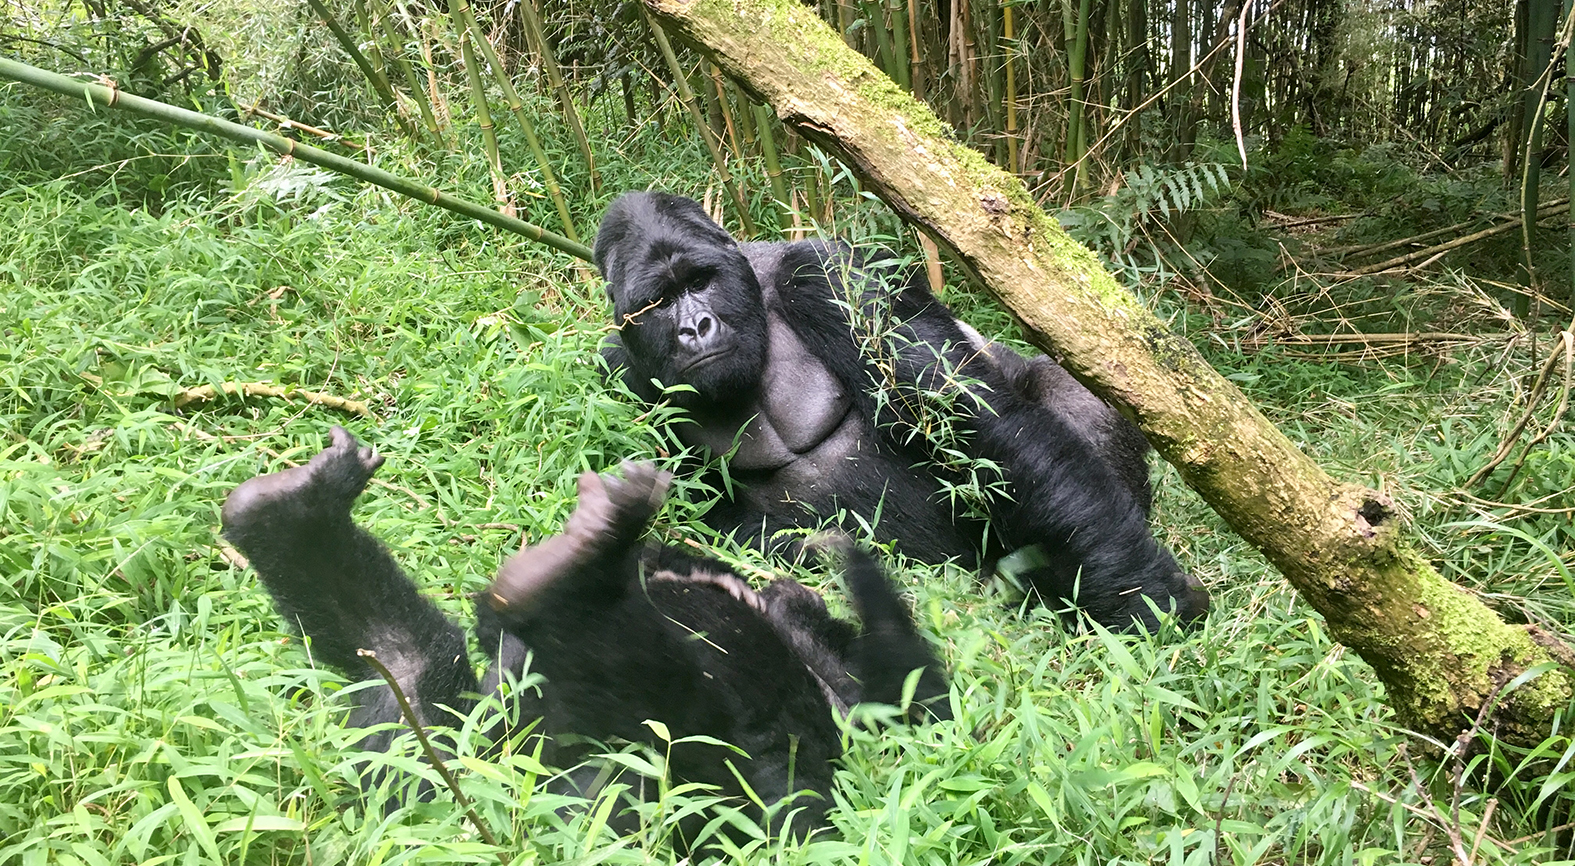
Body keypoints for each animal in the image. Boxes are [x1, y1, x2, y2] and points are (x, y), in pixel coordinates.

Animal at [595, 193, 1209, 636]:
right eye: (658, 302)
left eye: (700, 281)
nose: (695, 327)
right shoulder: (618, 378)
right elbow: (707, 520)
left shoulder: (827, 274)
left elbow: (979, 426)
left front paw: (1138, 597)